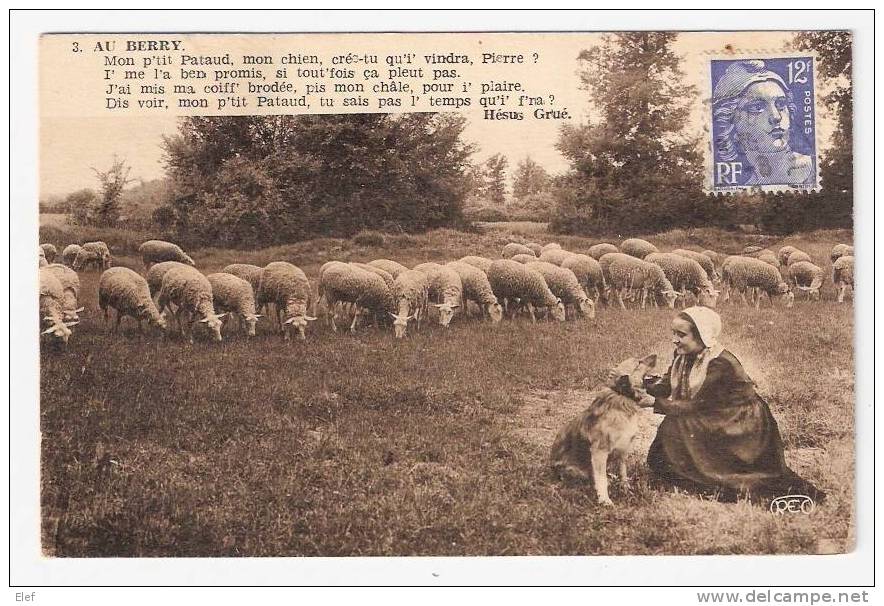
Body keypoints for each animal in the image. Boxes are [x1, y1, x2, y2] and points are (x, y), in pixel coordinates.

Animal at [552, 356, 656, 508]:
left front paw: (625, 488)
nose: (655, 355)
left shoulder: (623, 450)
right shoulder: (599, 452)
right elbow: (601, 479)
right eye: (638, 363)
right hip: (575, 470)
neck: (623, 399)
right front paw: (605, 500)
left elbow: (623, 472)